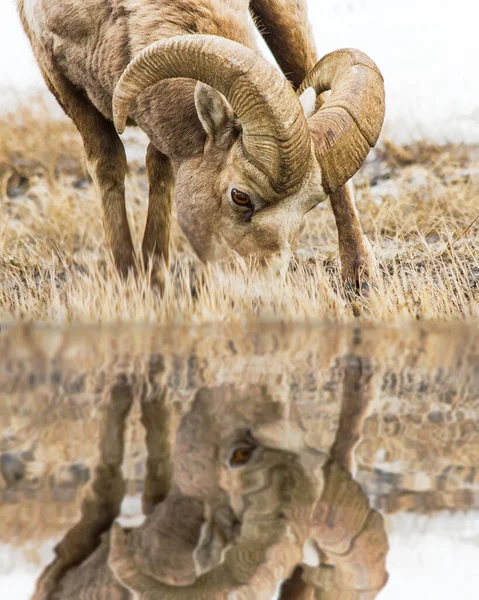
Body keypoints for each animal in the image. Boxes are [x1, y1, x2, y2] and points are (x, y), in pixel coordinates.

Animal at [17, 0, 386, 290]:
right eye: (240, 197)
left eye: (307, 207)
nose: (258, 292)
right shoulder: (56, 72)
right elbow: (110, 165)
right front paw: (132, 280)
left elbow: (160, 167)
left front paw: (154, 275)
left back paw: (360, 278)